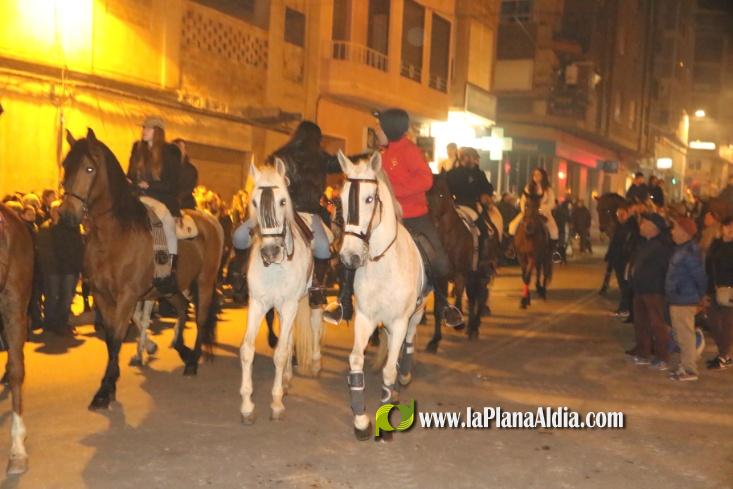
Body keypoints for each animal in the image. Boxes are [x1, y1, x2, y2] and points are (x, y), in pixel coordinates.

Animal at [59, 129, 223, 408]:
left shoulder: (127, 296)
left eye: (89, 168)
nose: (67, 216)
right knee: (182, 308)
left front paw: (104, 390)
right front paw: (115, 380)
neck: (115, 234)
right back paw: (181, 347)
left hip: (205, 282)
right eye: (65, 166)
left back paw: (192, 362)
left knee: (200, 319)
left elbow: (117, 338)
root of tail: (211, 220)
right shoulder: (103, 295)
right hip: (171, 288)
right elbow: (112, 338)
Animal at [239, 160, 322, 424]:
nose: (270, 252)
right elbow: (248, 350)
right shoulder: (258, 303)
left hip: (309, 300)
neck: (276, 268)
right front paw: (247, 405)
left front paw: (276, 403)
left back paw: (315, 364)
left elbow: (281, 352)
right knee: (291, 334)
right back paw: (285, 379)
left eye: (283, 201)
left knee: (314, 326)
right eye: (255, 202)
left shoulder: (289, 304)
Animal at [336, 151, 426, 440]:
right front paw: (361, 420)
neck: (382, 264)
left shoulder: (399, 321)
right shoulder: (365, 318)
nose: (349, 256)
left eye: (369, 199)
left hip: (416, 314)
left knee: (407, 342)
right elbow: (356, 361)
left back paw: (404, 378)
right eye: (341, 199)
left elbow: (389, 369)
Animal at [424, 173, 492, 348]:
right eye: (425, 195)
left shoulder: (460, 274)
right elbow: (438, 308)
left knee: (480, 296)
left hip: (480, 273)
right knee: (474, 297)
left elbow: (459, 300)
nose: (432, 221)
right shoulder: (441, 278)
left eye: (442, 195)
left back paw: (474, 327)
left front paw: (458, 322)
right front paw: (435, 340)